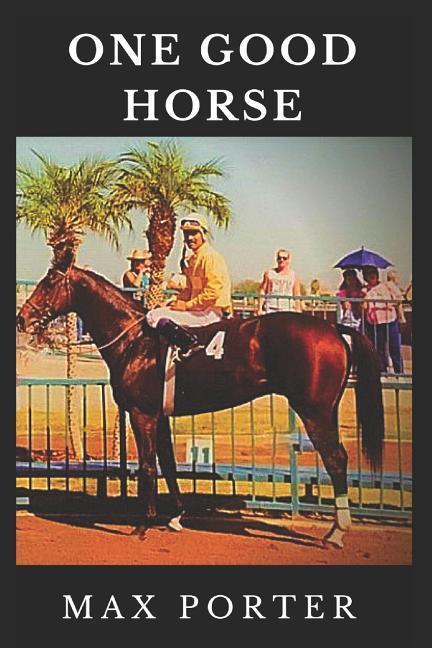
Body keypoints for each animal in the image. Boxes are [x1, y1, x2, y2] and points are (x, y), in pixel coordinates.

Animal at [16, 261, 384, 548]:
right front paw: (176, 516)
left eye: (49, 284)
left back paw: (337, 532)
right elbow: (168, 465)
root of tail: (333, 328)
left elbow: (148, 467)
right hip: (324, 410)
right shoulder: (160, 416)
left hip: (314, 412)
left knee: (336, 459)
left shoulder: (142, 414)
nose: (22, 319)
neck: (135, 341)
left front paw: (142, 525)